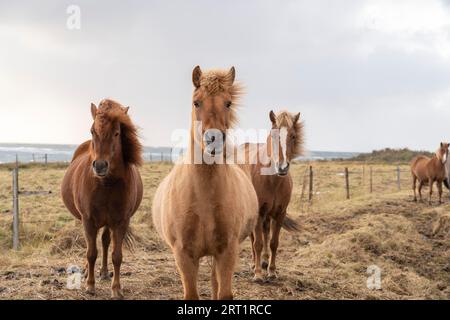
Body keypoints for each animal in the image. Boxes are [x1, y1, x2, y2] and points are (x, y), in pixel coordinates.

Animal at [60, 99, 142, 298]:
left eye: (117, 133)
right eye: (92, 131)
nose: (100, 166)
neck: (106, 183)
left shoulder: (121, 222)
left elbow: (116, 256)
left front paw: (116, 289)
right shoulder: (88, 220)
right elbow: (91, 253)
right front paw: (90, 285)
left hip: (108, 222)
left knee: (105, 242)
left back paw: (104, 272)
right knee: (93, 247)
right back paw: (86, 271)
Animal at [151, 65, 256, 300]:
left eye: (228, 103)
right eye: (196, 102)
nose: (213, 139)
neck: (203, 197)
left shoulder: (227, 251)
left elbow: (223, 293)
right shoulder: (184, 255)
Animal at [239, 111, 306, 282]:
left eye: (293, 136)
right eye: (273, 136)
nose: (282, 167)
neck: (272, 179)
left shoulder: (279, 213)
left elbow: (273, 242)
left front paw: (272, 270)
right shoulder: (258, 213)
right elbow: (257, 243)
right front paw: (257, 274)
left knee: (265, 232)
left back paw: (264, 261)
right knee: (253, 238)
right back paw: (254, 264)